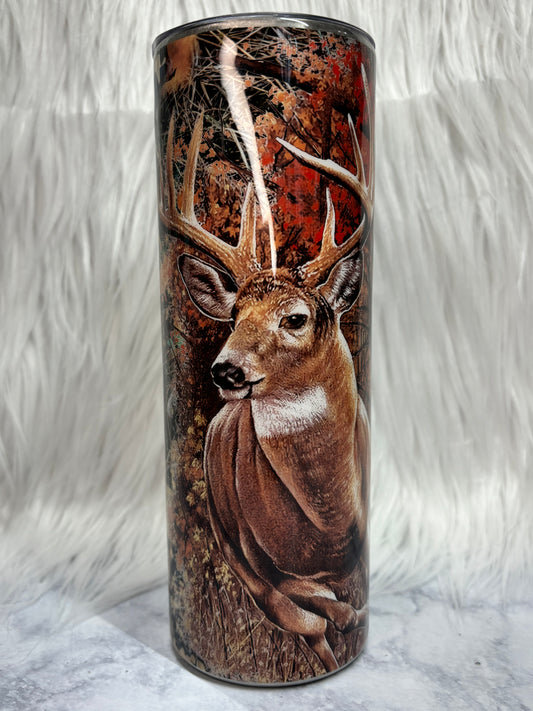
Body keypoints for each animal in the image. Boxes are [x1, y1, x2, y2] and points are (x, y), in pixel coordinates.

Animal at [159, 66, 373, 674]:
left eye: (295, 317)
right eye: (233, 315)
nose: (225, 371)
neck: (325, 524)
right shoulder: (250, 558)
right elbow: (307, 613)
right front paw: (335, 625)